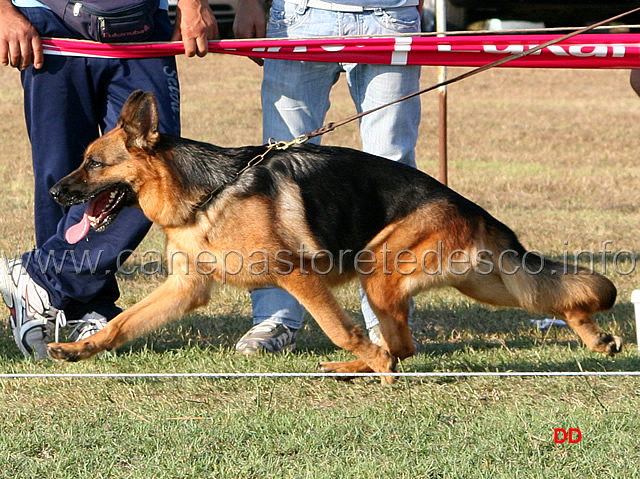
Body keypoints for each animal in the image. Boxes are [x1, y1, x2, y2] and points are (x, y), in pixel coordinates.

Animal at [48, 90, 620, 382]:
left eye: (93, 163)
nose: (55, 191)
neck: (208, 191)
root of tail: (468, 205)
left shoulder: (299, 277)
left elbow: (340, 327)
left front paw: (369, 359)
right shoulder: (184, 289)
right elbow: (122, 324)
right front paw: (81, 350)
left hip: (381, 272)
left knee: (398, 342)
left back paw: (368, 363)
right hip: (476, 281)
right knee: (534, 298)